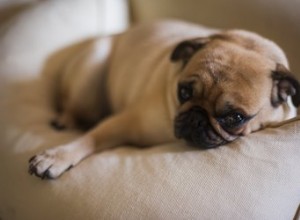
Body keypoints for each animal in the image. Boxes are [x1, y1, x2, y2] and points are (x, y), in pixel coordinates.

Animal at [28, 19, 300, 180]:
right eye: (184, 93)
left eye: (235, 117)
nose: (196, 118)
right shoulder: (124, 122)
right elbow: (91, 138)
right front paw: (57, 156)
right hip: (92, 69)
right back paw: (66, 120)